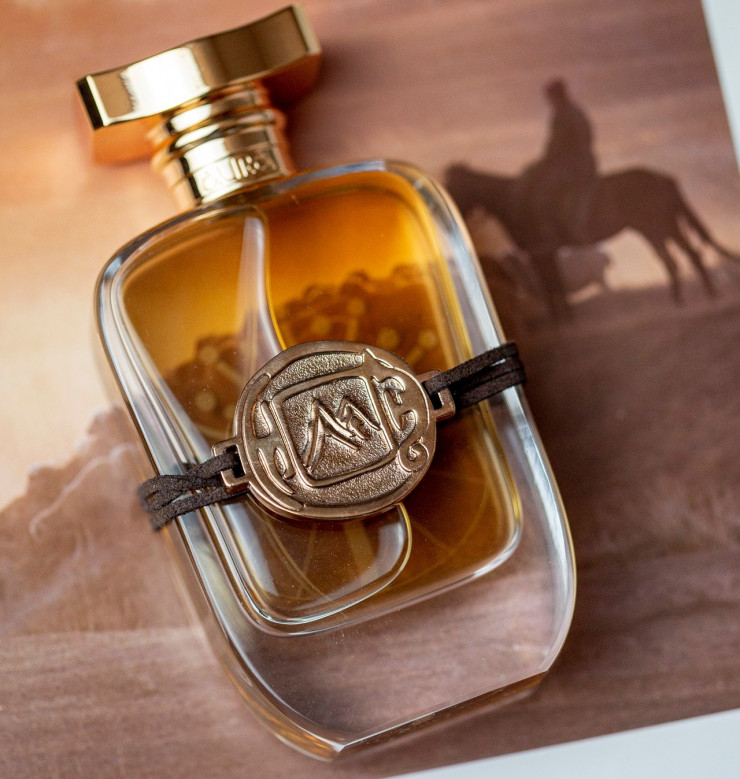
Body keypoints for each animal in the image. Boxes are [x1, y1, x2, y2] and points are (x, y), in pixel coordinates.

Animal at [445, 163, 738, 318]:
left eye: (453, 184)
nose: (453, 218)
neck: (512, 200)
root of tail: (661, 176)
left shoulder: (540, 252)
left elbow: (551, 285)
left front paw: (562, 320)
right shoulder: (542, 254)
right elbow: (553, 285)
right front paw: (564, 319)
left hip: (660, 226)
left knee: (688, 256)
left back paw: (708, 295)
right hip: (655, 229)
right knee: (674, 261)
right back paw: (680, 300)